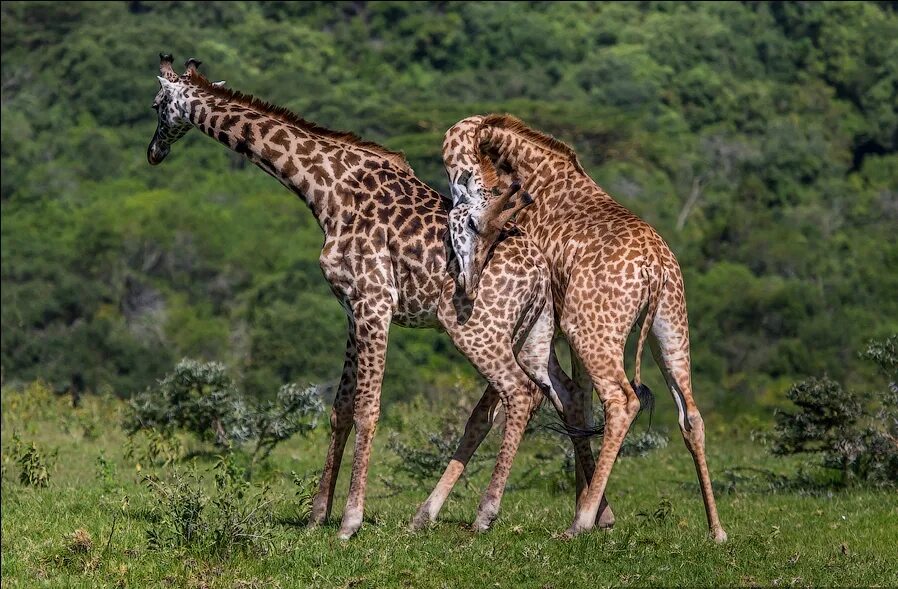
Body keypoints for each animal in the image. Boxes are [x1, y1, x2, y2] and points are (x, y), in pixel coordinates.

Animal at [145, 55, 588, 536]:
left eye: (156, 105)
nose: (153, 152)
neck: (326, 189)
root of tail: (541, 275)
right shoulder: (350, 308)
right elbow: (340, 407)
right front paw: (317, 516)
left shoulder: (374, 302)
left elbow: (368, 408)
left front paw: (349, 521)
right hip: (531, 336)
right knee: (557, 398)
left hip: (475, 330)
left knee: (520, 394)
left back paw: (485, 515)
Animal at [440, 113, 728, 544]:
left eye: (475, 220)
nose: (468, 279)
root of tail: (655, 268)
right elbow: (576, 404)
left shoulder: (538, 327)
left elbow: (489, 413)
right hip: (670, 328)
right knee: (690, 415)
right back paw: (716, 530)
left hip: (591, 328)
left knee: (623, 402)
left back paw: (579, 524)